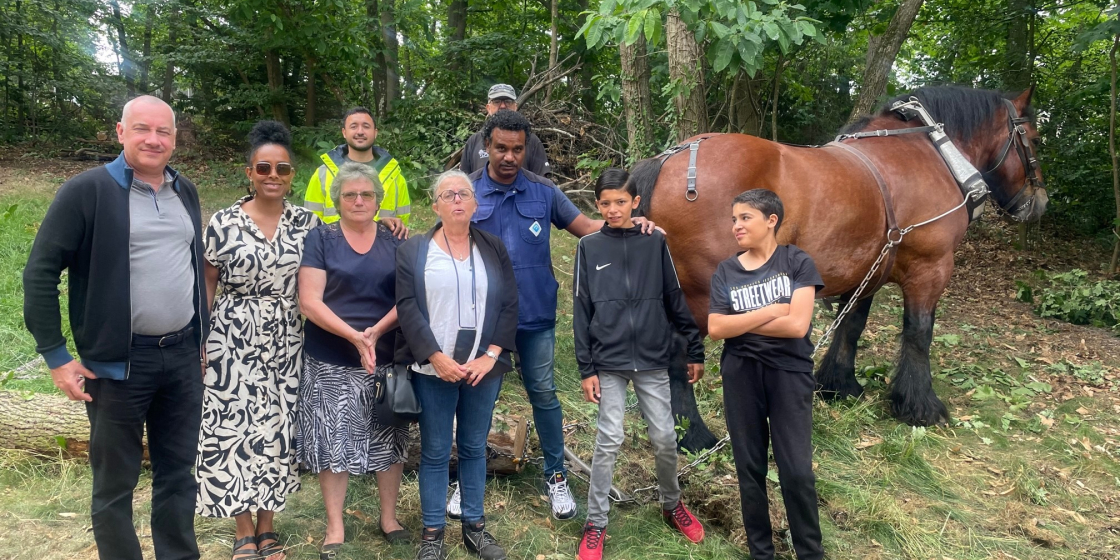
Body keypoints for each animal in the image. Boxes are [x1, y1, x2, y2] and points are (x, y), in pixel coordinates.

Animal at [640, 86, 1048, 445]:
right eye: (1034, 137)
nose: (1040, 203)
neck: (932, 153)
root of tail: (667, 159)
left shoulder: (868, 266)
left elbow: (851, 325)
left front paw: (839, 384)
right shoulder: (931, 269)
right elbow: (919, 333)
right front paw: (920, 405)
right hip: (704, 295)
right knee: (679, 354)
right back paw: (693, 434)